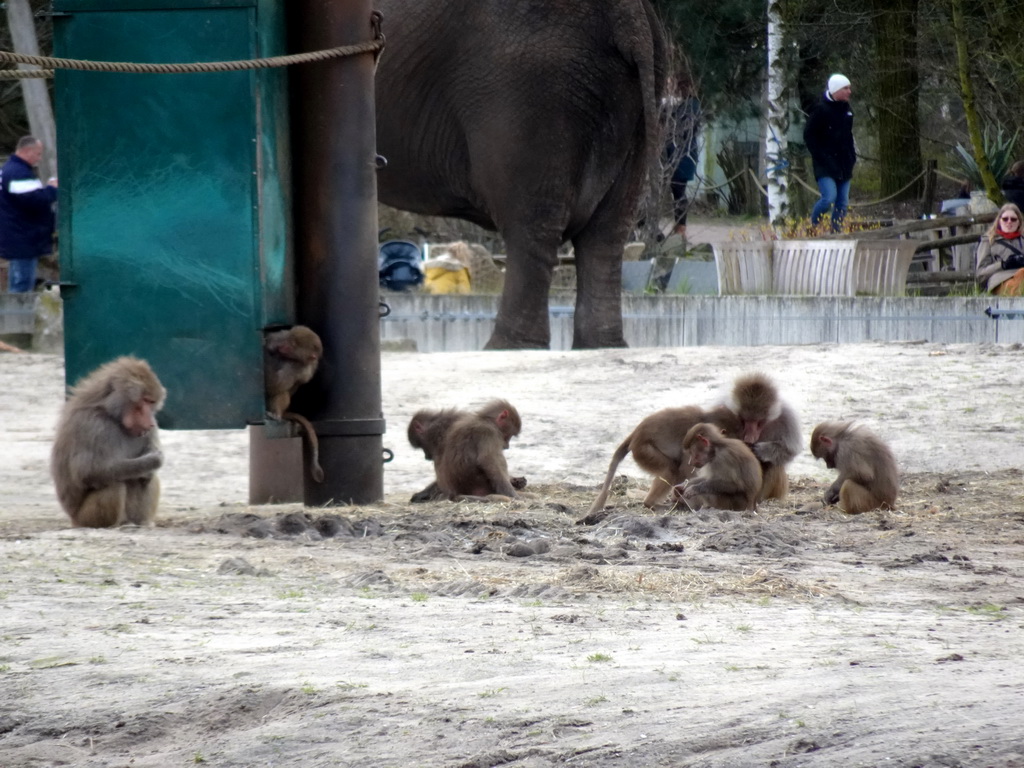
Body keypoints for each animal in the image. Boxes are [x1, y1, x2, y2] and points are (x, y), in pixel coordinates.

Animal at [51, 356, 166, 528]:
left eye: (151, 402)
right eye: (144, 401)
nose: (151, 423)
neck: (113, 416)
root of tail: (74, 520)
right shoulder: (94, 425)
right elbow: (89, 472)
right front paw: (152, 460)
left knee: (146, 480)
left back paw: (141, 523)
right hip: (85, 517)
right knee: (114, 483)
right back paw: (112, 525)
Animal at [264, 327, 323, 483]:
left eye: (291, 345)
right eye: (288, 339)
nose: (280, 346)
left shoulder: (296, 368)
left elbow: (275, 387)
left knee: (282, 393)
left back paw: (275, 413)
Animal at [372, 0, 667, 352]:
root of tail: (630, 15)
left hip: (530, 90)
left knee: (533, 224)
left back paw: (508, 347)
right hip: (631, 98)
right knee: (607, 232)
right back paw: (601, 346)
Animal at [585, 405, 745, 514]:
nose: (743, 445)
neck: (706, 419)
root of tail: (636, 434)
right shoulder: (692, 448)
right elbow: (686, 470)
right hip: (643, 450)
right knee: (671, 470)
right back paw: (651, 504)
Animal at [724, 374, 802, 505]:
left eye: (759, 423)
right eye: (744, 420)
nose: (749, 438)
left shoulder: (787, 419)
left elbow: (789, 451)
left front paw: (762, 450)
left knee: (773, 463)